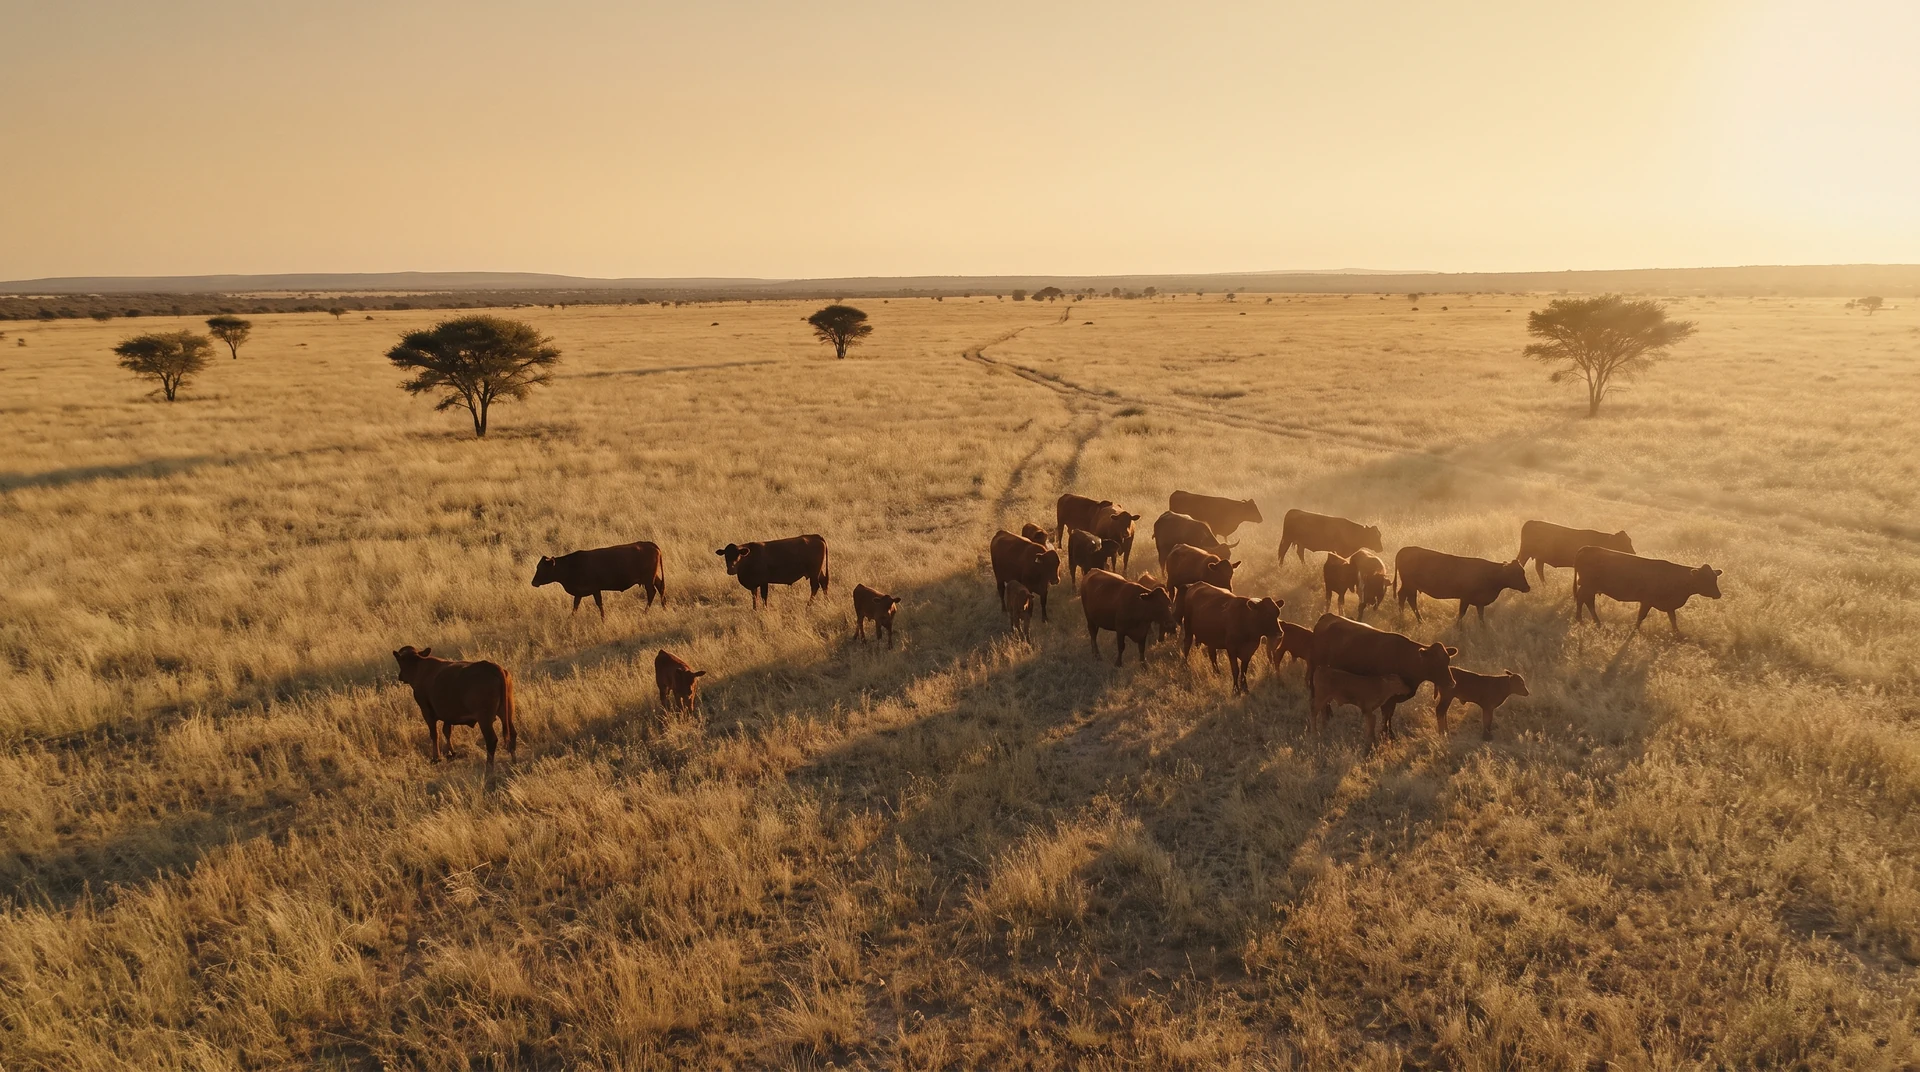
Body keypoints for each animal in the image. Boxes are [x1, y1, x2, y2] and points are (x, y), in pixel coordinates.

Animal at [531, 541, 664, 617]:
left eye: (542, 569)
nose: (533, 582)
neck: (572, 566)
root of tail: (650, 544)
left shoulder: (595, 589)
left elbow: (599, 604)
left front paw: (603, 619)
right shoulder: (579, 593)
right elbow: (575, 606)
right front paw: (570, 619)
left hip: (648, 580)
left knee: (652, 592)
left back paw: (645, 613)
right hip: (653, 578)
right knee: (661, 587)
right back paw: (664, 607)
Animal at [1310, 613, 1457, 742]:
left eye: (1448, 660)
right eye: (1435, 663)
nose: (1452, 683)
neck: (1406, 658)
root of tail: (1328, 616)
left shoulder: (1392, 698)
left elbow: (1389, 715)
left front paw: (1389, 734)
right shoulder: (1388, 697)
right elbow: (1386, 715)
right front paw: (1386, 734)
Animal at [1393, 546, 1531, 622]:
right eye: (1516, 574)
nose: (1527, 588)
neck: (1489, 574)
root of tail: (1403, 550)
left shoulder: (1479, 603)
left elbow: (1481, 617)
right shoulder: (1465, 598)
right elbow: (1461, 614)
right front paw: (1458, 629)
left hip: (1411, 587)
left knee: (1406, 599)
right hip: (1409, 585)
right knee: (1407, 598)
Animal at [1573, 547, 1723, 633]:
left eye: (1714, 579)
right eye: (1705, 579)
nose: (1718, 594)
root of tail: (1587, 548)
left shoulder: (1669, 605)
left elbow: (1673, 619)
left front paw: (1677, 635)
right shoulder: (1647, 601)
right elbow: (1641, 616)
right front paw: (1635, 630)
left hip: (1590, 588)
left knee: (1586, 601)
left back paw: (1595, 622)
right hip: (1588, 586)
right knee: (1583, 600)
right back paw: (1581, 620)